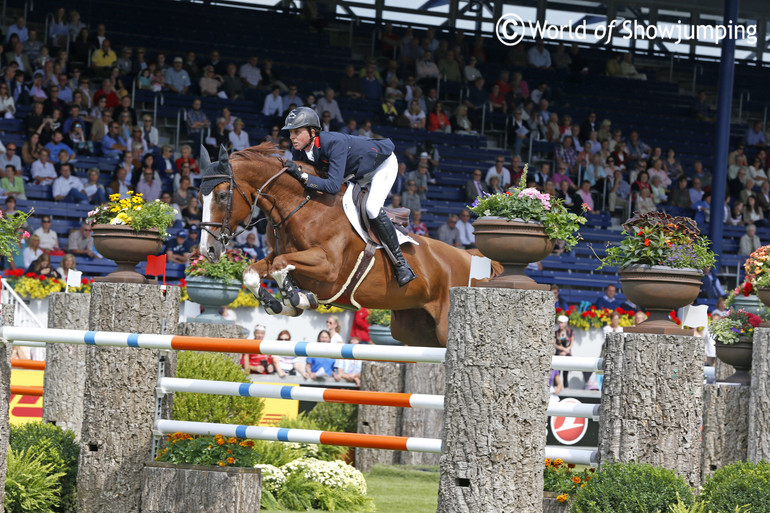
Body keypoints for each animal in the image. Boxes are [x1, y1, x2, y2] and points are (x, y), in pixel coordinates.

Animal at [200, 142, 492, 346]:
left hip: (443, 326)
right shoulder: (277, 254)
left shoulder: (328, 267)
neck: (301, 205)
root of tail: (473, 258)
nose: (208, 250)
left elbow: (281, 266)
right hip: (416, 331)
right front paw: (280, 302)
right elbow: (253, 272)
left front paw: (297, 298)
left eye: (223, 195)